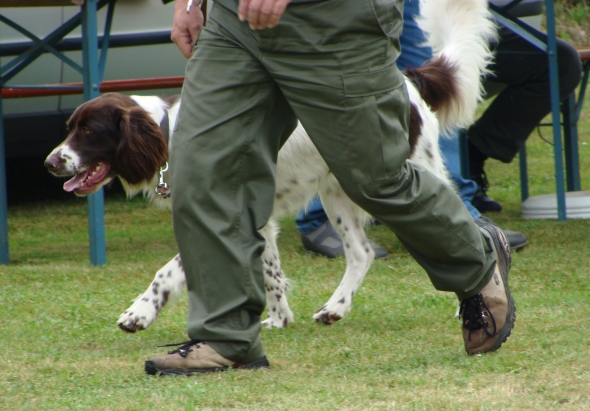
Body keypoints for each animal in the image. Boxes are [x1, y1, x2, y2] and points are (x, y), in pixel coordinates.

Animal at [46, 0, 498, 332]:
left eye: (89, 132)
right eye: (69, 128)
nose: (50, 162)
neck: (170, 134)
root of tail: (409, 80)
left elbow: (167, 272)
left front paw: (139, 312)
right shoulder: (256, 221)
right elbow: (272, 274)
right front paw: (279, 319)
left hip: (401, 174)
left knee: (467, 228)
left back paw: (475, 301)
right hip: (340, 190)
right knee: (362, 252)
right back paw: (335, 308)